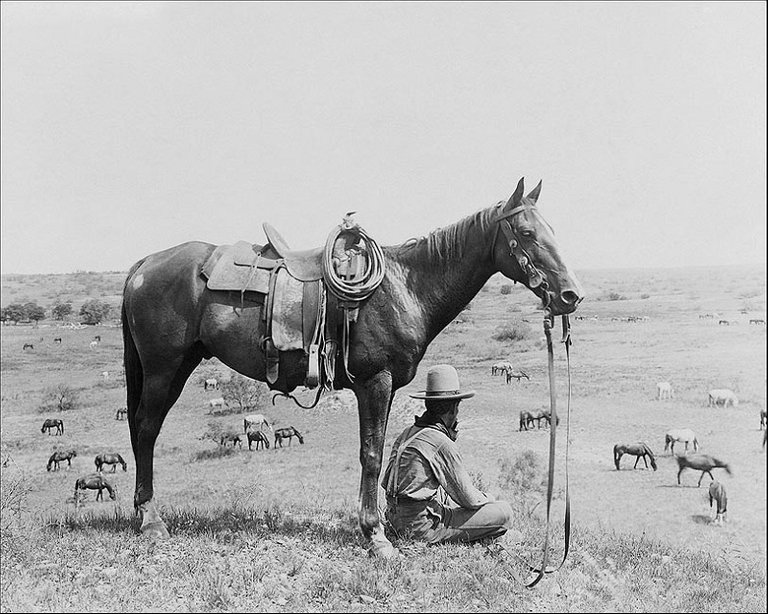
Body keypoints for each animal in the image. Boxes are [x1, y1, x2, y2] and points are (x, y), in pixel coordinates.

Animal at [121, 177, 584, 560]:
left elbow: (378, 451)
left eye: (552, 231)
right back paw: (151, 520)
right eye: (527, 233)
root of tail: (143, 265)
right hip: (163, 369)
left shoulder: (387, 386)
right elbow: (371, 454)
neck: (405, 287)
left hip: (179, 366)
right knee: (145, 429)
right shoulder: (374, 382)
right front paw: (375, 536)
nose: (570, 295)